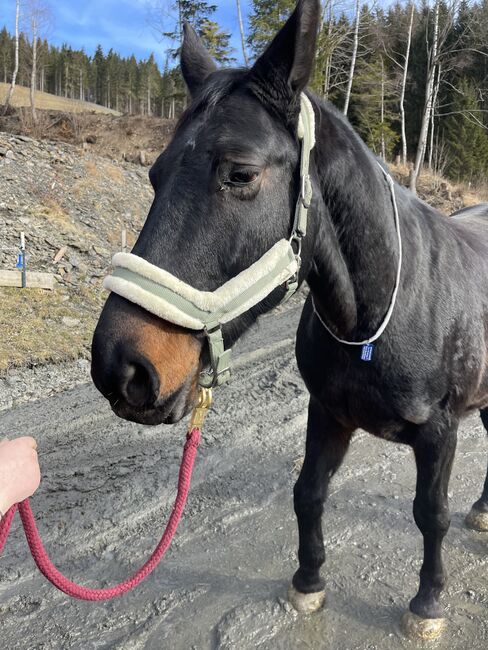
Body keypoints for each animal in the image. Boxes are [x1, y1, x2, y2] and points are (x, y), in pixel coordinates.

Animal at [90, 0, 488, 636]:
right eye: (154, 175)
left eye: (241, 174)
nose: (121, 366)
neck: (377, 318)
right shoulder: (326, 412)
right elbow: (308, 492)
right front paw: (308, 582)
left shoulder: (440, 431)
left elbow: (431, 515)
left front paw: (427, 604)